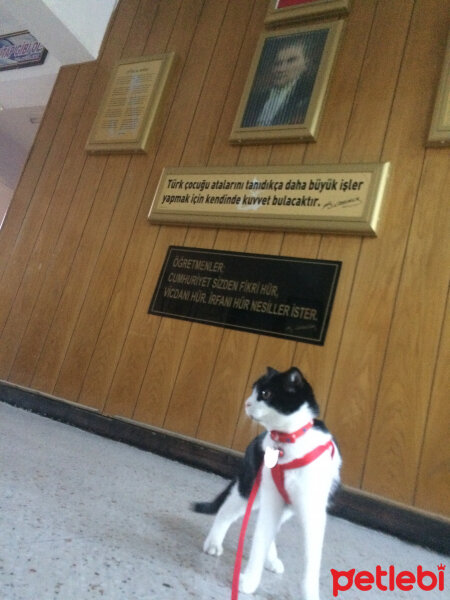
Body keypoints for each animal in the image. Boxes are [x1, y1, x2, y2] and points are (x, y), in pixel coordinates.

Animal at [192, 366, 340, 600]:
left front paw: (310, 594)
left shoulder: (313, 510)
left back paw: (271, 560)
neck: (287, 442)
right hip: (248, 487)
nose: (247, 403)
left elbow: (311, 560)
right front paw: (250, 581)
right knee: (226, 512)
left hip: (284, 506)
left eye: (266, 394)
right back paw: (214, 543)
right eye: (254, 392)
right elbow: (260, 539)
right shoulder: (272, 497)